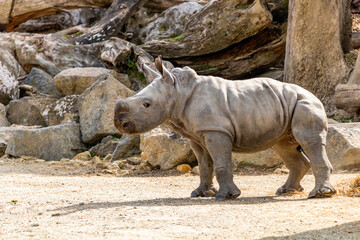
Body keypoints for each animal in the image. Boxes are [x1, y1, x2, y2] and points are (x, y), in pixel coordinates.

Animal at [114, 57, 336, 201]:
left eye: (147, 104)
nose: (119, 122)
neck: (178, 91)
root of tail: (314, 94)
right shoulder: (197, 134)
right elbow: (204, 165)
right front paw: (200, 194)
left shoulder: (216, 130)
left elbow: (221, 163)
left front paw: (226, 196)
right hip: (285, 106)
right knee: (283, 146)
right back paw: (286, 191)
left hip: (305, 103)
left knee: (309, 141)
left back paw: (320, 195)